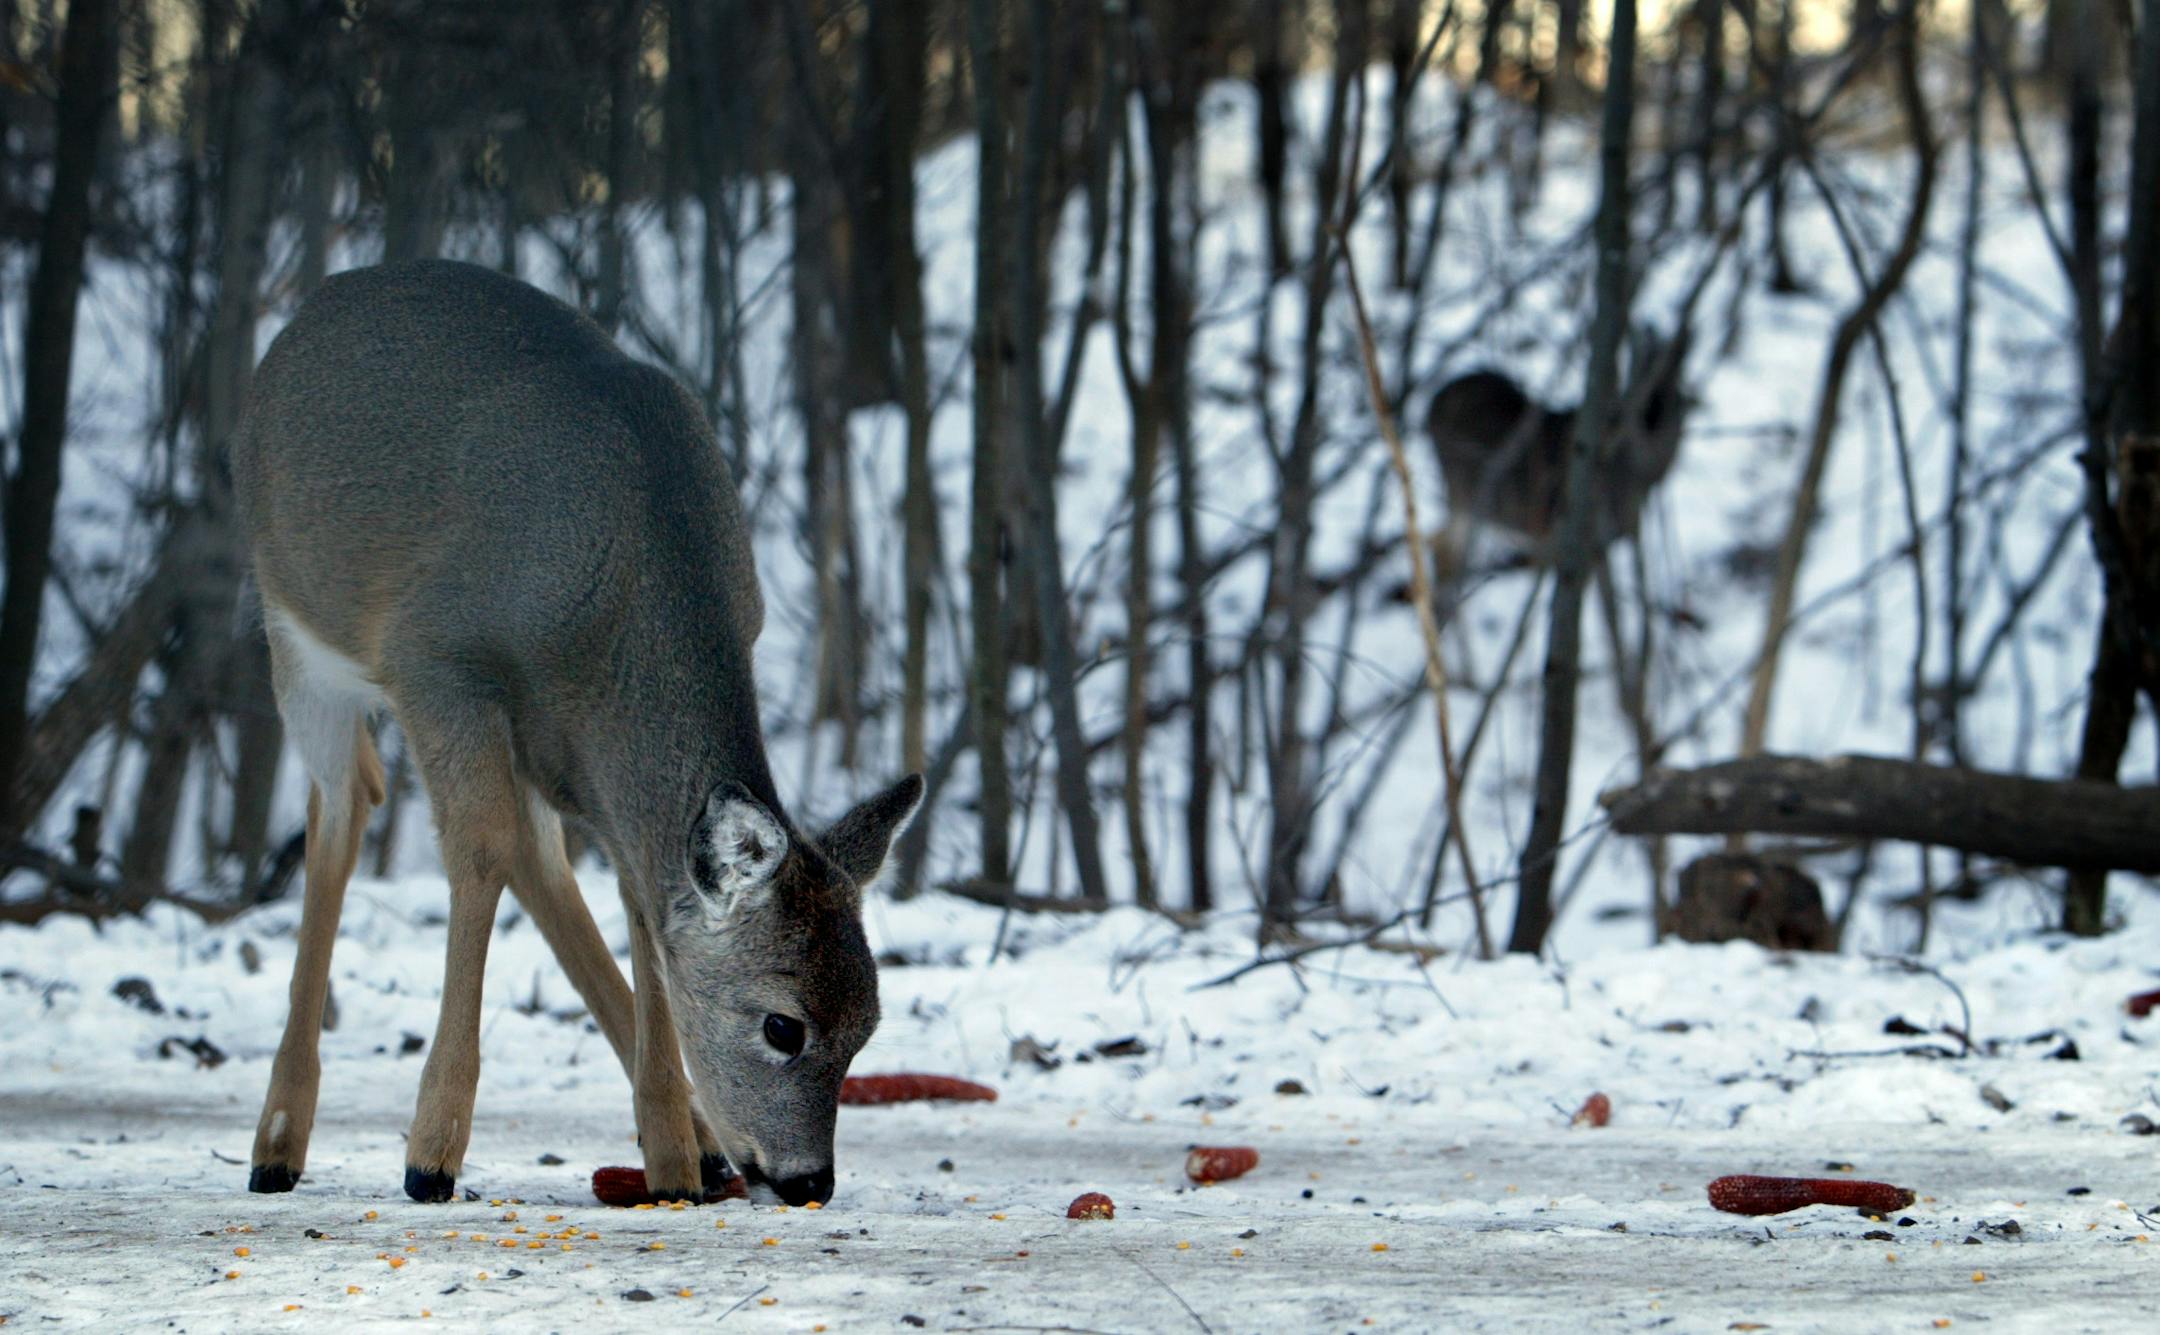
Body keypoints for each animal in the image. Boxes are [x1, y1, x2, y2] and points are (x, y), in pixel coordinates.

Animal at [231, 259, 921, 1208]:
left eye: (869, 1027)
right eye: (783, 1025)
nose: (808, 1177)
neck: (618, 604)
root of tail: (305, 313)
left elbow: (638, 898)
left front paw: (673, 1157)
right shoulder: (436, 659)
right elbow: (479, 851)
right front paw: (431, 1153)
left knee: (535, 854)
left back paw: (697, 1146)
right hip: (294, 628)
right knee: (344, 806)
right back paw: (277, 1140)